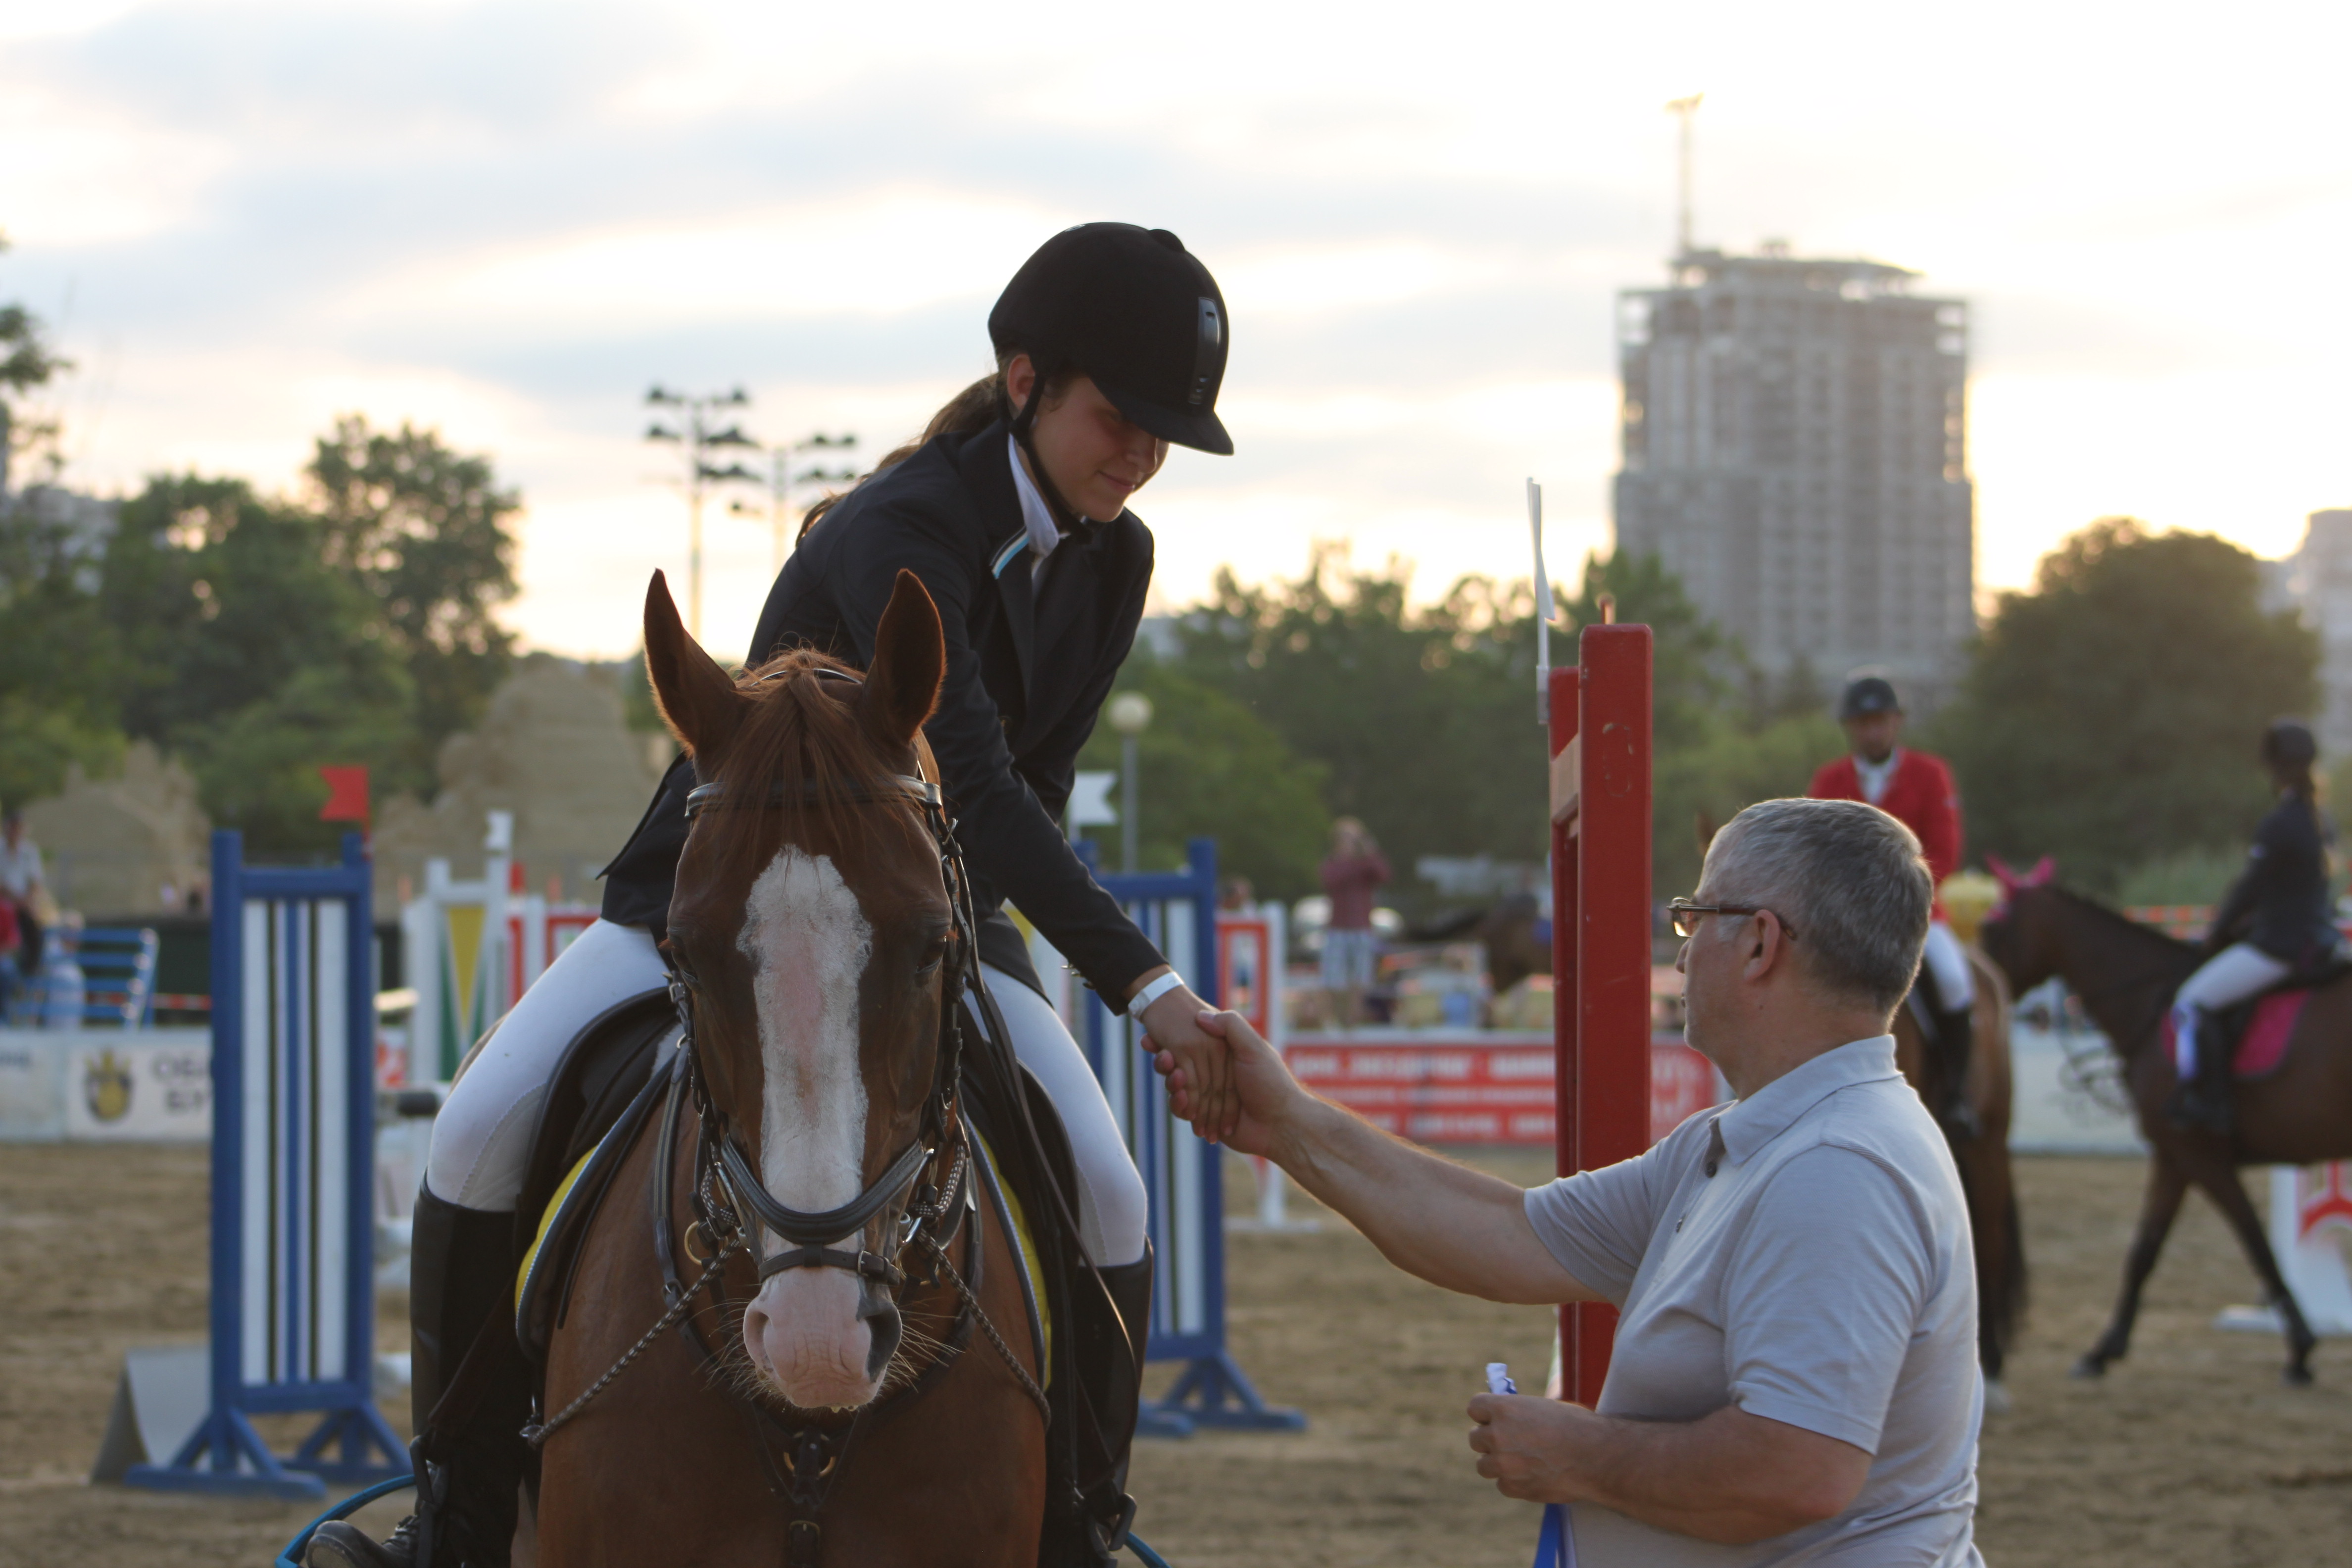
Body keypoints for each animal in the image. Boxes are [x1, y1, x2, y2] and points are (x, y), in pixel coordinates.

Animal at [1975, 883, 2342, 1382]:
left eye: (1993, 930)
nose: (1984, 987)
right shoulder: (2175, 1158)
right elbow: (2144, 1251)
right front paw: (2103, 1350)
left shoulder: (2201, 1157)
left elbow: (2258, 1246)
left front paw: (2301, 1350)